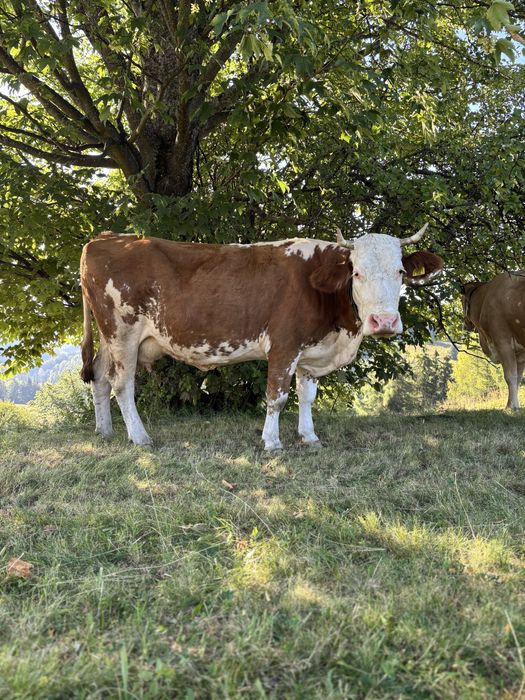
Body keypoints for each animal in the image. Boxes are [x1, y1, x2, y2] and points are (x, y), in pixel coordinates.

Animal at [80, 225, 443, 449]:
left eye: (400, 271)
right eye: (357, 273)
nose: (384, 321)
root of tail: (104, 239)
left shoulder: (311, 352)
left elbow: (307, 396)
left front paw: (309, 436)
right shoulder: (284, 345)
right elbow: (277, 397)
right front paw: (272, 441)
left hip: (110, 336)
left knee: (99, 375)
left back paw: (105, 431)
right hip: (122, 332)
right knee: (122, 384)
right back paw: (140, 437)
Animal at [462, 272, 525, 409]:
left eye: (461, 300)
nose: (465, 325)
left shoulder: (502, 341)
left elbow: (510, 376)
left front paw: (510, 406)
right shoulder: (520, 352)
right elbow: (518, 378)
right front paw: (515, 405)